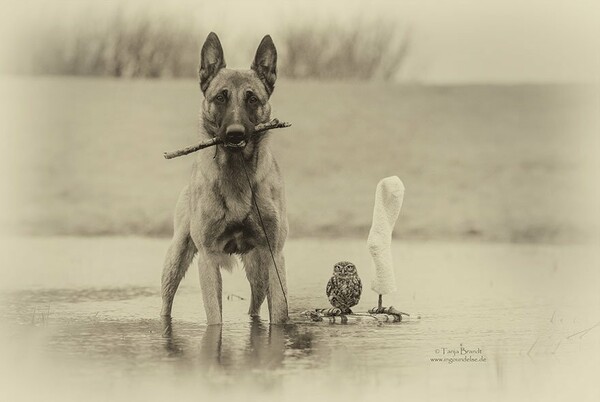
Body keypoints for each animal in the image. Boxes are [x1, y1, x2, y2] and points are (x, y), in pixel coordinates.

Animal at [161, 33, 290, 326]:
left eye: (252, 99)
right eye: (221, 97)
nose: (234, 133)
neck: (238, 174)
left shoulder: (274, 256)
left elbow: (279, 314)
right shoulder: (208, 259)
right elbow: (215, 318)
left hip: (259, 270)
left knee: (255, 305)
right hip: (176, 258)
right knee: (166, 303)